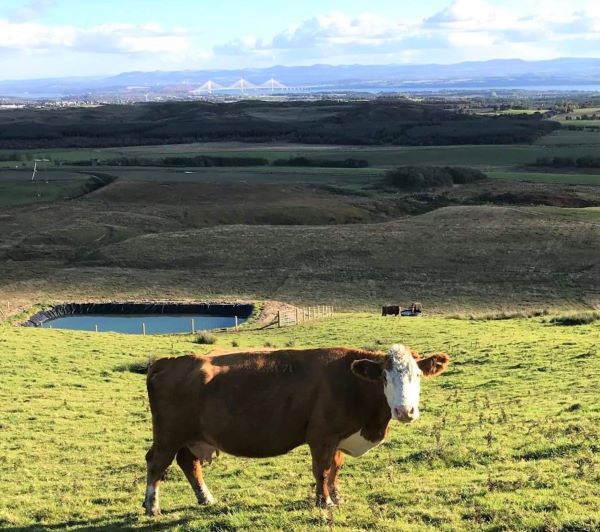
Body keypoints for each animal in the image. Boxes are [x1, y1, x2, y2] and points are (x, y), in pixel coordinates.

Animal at [143, 344, 448, 516]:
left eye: (418, 375)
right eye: (384, 376)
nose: (405, 411)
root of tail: (168, 361)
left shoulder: (337, 437)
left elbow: (335, 468)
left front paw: (336, 496)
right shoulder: (322, 436)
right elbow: (322, 470)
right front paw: (324, 503)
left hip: (191, 437)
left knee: (188, 462)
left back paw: (206, 498)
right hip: (168, 436)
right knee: (156, 464)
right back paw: (152, 506)